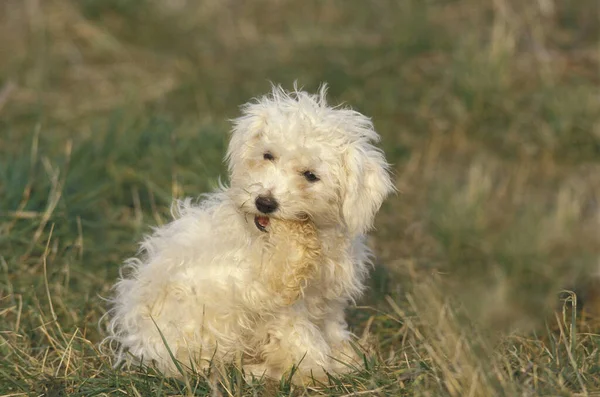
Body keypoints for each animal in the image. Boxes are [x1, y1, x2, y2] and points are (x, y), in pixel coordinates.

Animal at [106, 85, 396, 382]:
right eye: (268, 155)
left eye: (310, 175)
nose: (265, 202)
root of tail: (141, 349)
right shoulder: (274, 302)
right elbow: (303, 339)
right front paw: (316, 369)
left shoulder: (329, 297)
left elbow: (330, 329)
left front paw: (345, 358)